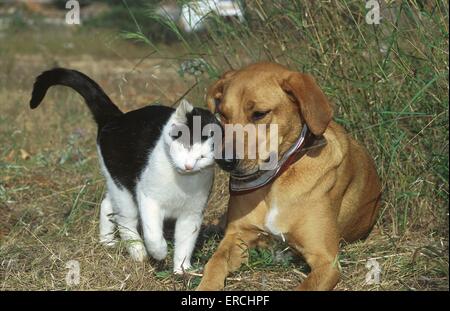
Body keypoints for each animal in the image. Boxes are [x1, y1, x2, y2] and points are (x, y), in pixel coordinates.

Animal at [29, 69, 219, 274]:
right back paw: (137, 252)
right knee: (124, 220)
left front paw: (182, 270)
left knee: (107, 204)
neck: (182, 182)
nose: (189, 166)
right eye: (186, 146)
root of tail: (116, 118)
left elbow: (185, 243)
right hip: (122, 187)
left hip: (119, 187)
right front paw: (159, 253)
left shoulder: (192, 214)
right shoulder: (148, 199)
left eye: (203, 157)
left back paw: (107, 241)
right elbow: (152, 234)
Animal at [197, 62, 380, 292]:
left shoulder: (326, 261)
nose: (225, 161)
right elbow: (215, 262)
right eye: (223, 114)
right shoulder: (237, 236)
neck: (276, 179)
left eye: (259, 114)